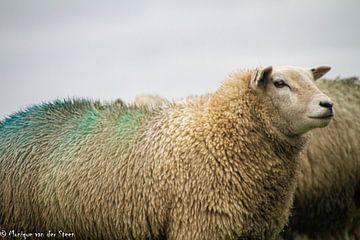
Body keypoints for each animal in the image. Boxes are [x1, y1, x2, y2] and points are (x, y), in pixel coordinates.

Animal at [0, 65, 334, 240]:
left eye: (311, 78)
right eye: (279, 83)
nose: (328, 104)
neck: (217, 133)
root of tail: (13, 120)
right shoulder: (200, 225)